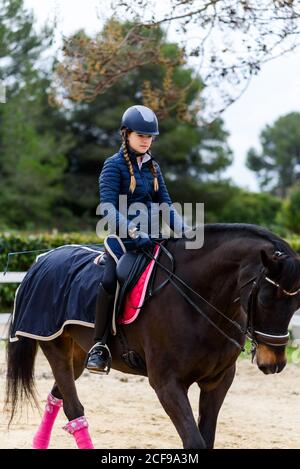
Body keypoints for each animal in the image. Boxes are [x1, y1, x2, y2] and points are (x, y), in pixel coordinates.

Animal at [4, 225, 300, 448]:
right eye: (263, 299)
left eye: (295, 305)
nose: (273, 363)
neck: (198, 296)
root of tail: (42, 260)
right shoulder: (166, 383)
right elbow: (195, 442)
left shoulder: (218, 381)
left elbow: (207, 439)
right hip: (55, 346)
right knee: (74, 409)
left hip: (77, 354)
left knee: (59, 396)